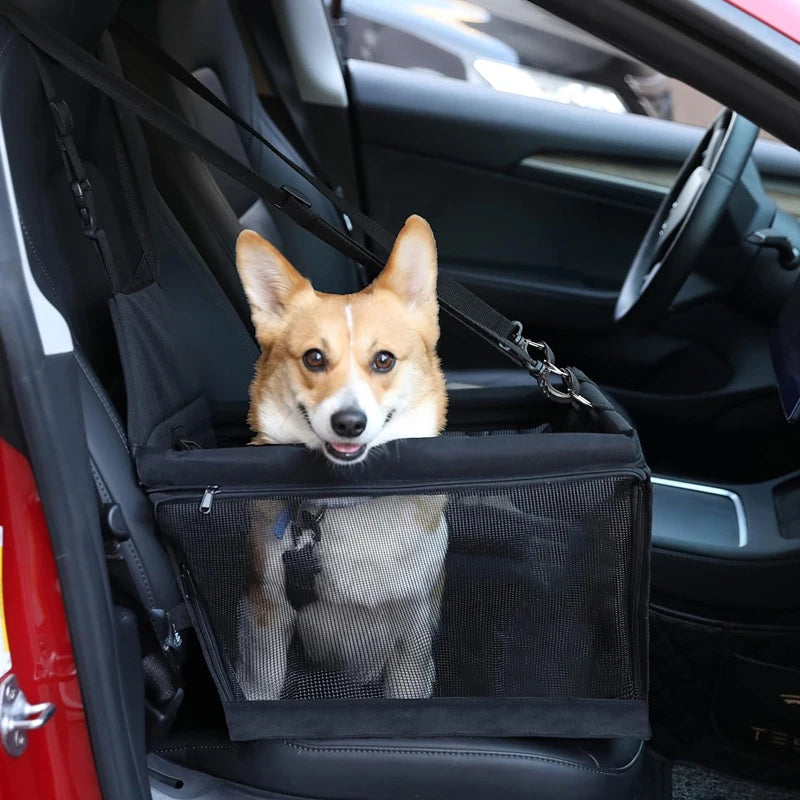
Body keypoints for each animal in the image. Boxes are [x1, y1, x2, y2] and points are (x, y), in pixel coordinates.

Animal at [236, 216, 450, 696]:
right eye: (314, 358)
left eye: (384, 360)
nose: (348, 423)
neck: (350, 500)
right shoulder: (266, 614)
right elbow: (262, 687)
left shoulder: (415, 639)